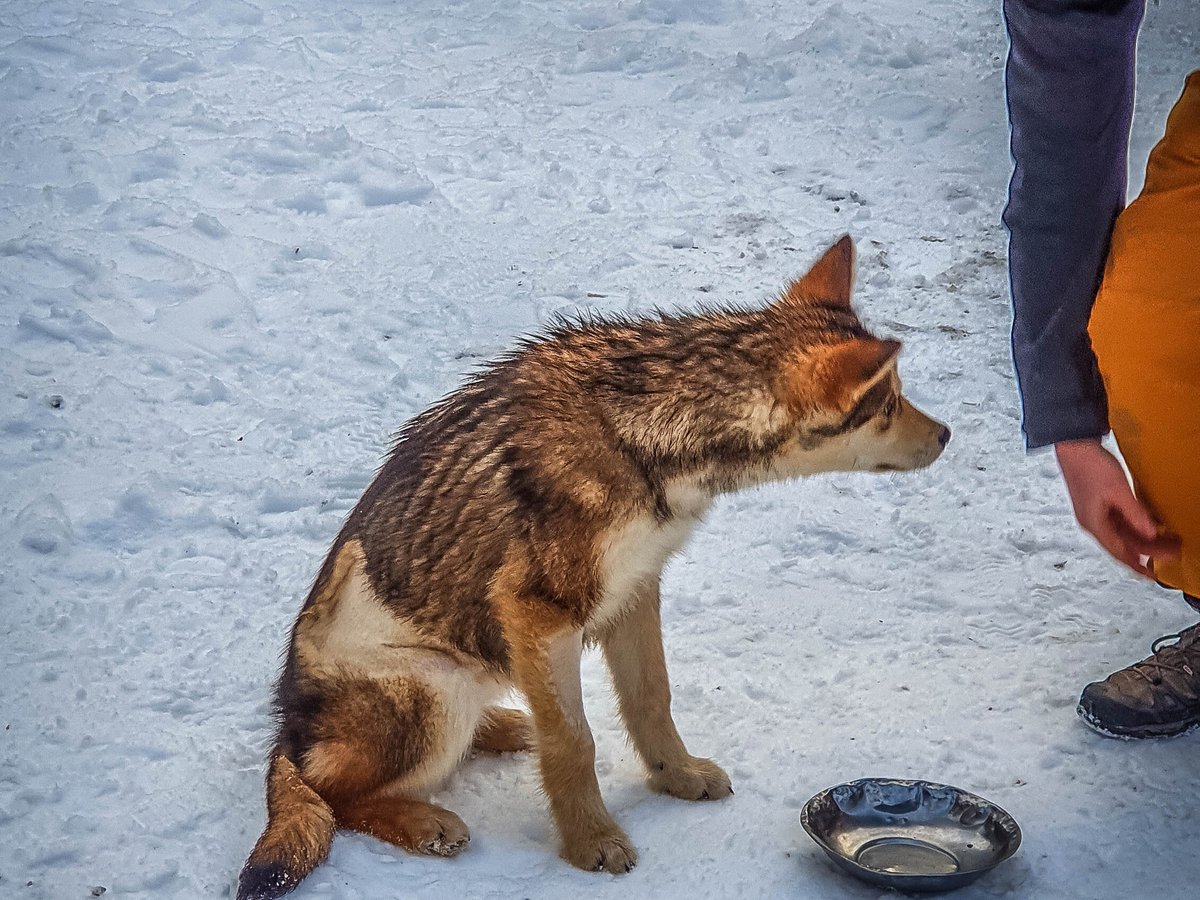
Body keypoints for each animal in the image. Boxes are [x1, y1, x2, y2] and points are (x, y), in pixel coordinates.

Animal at [234, 236, 945, 897]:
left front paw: (678, 777)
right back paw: (425, 821)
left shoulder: (636, 588)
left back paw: (504, 726)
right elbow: (576, 744)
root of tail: (285, 736)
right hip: (435, 689)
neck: (643, 434)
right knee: (334, 794)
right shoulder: (542, 613)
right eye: (887, 405)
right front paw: (591, 842)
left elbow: (652, 699)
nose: (946, 435)